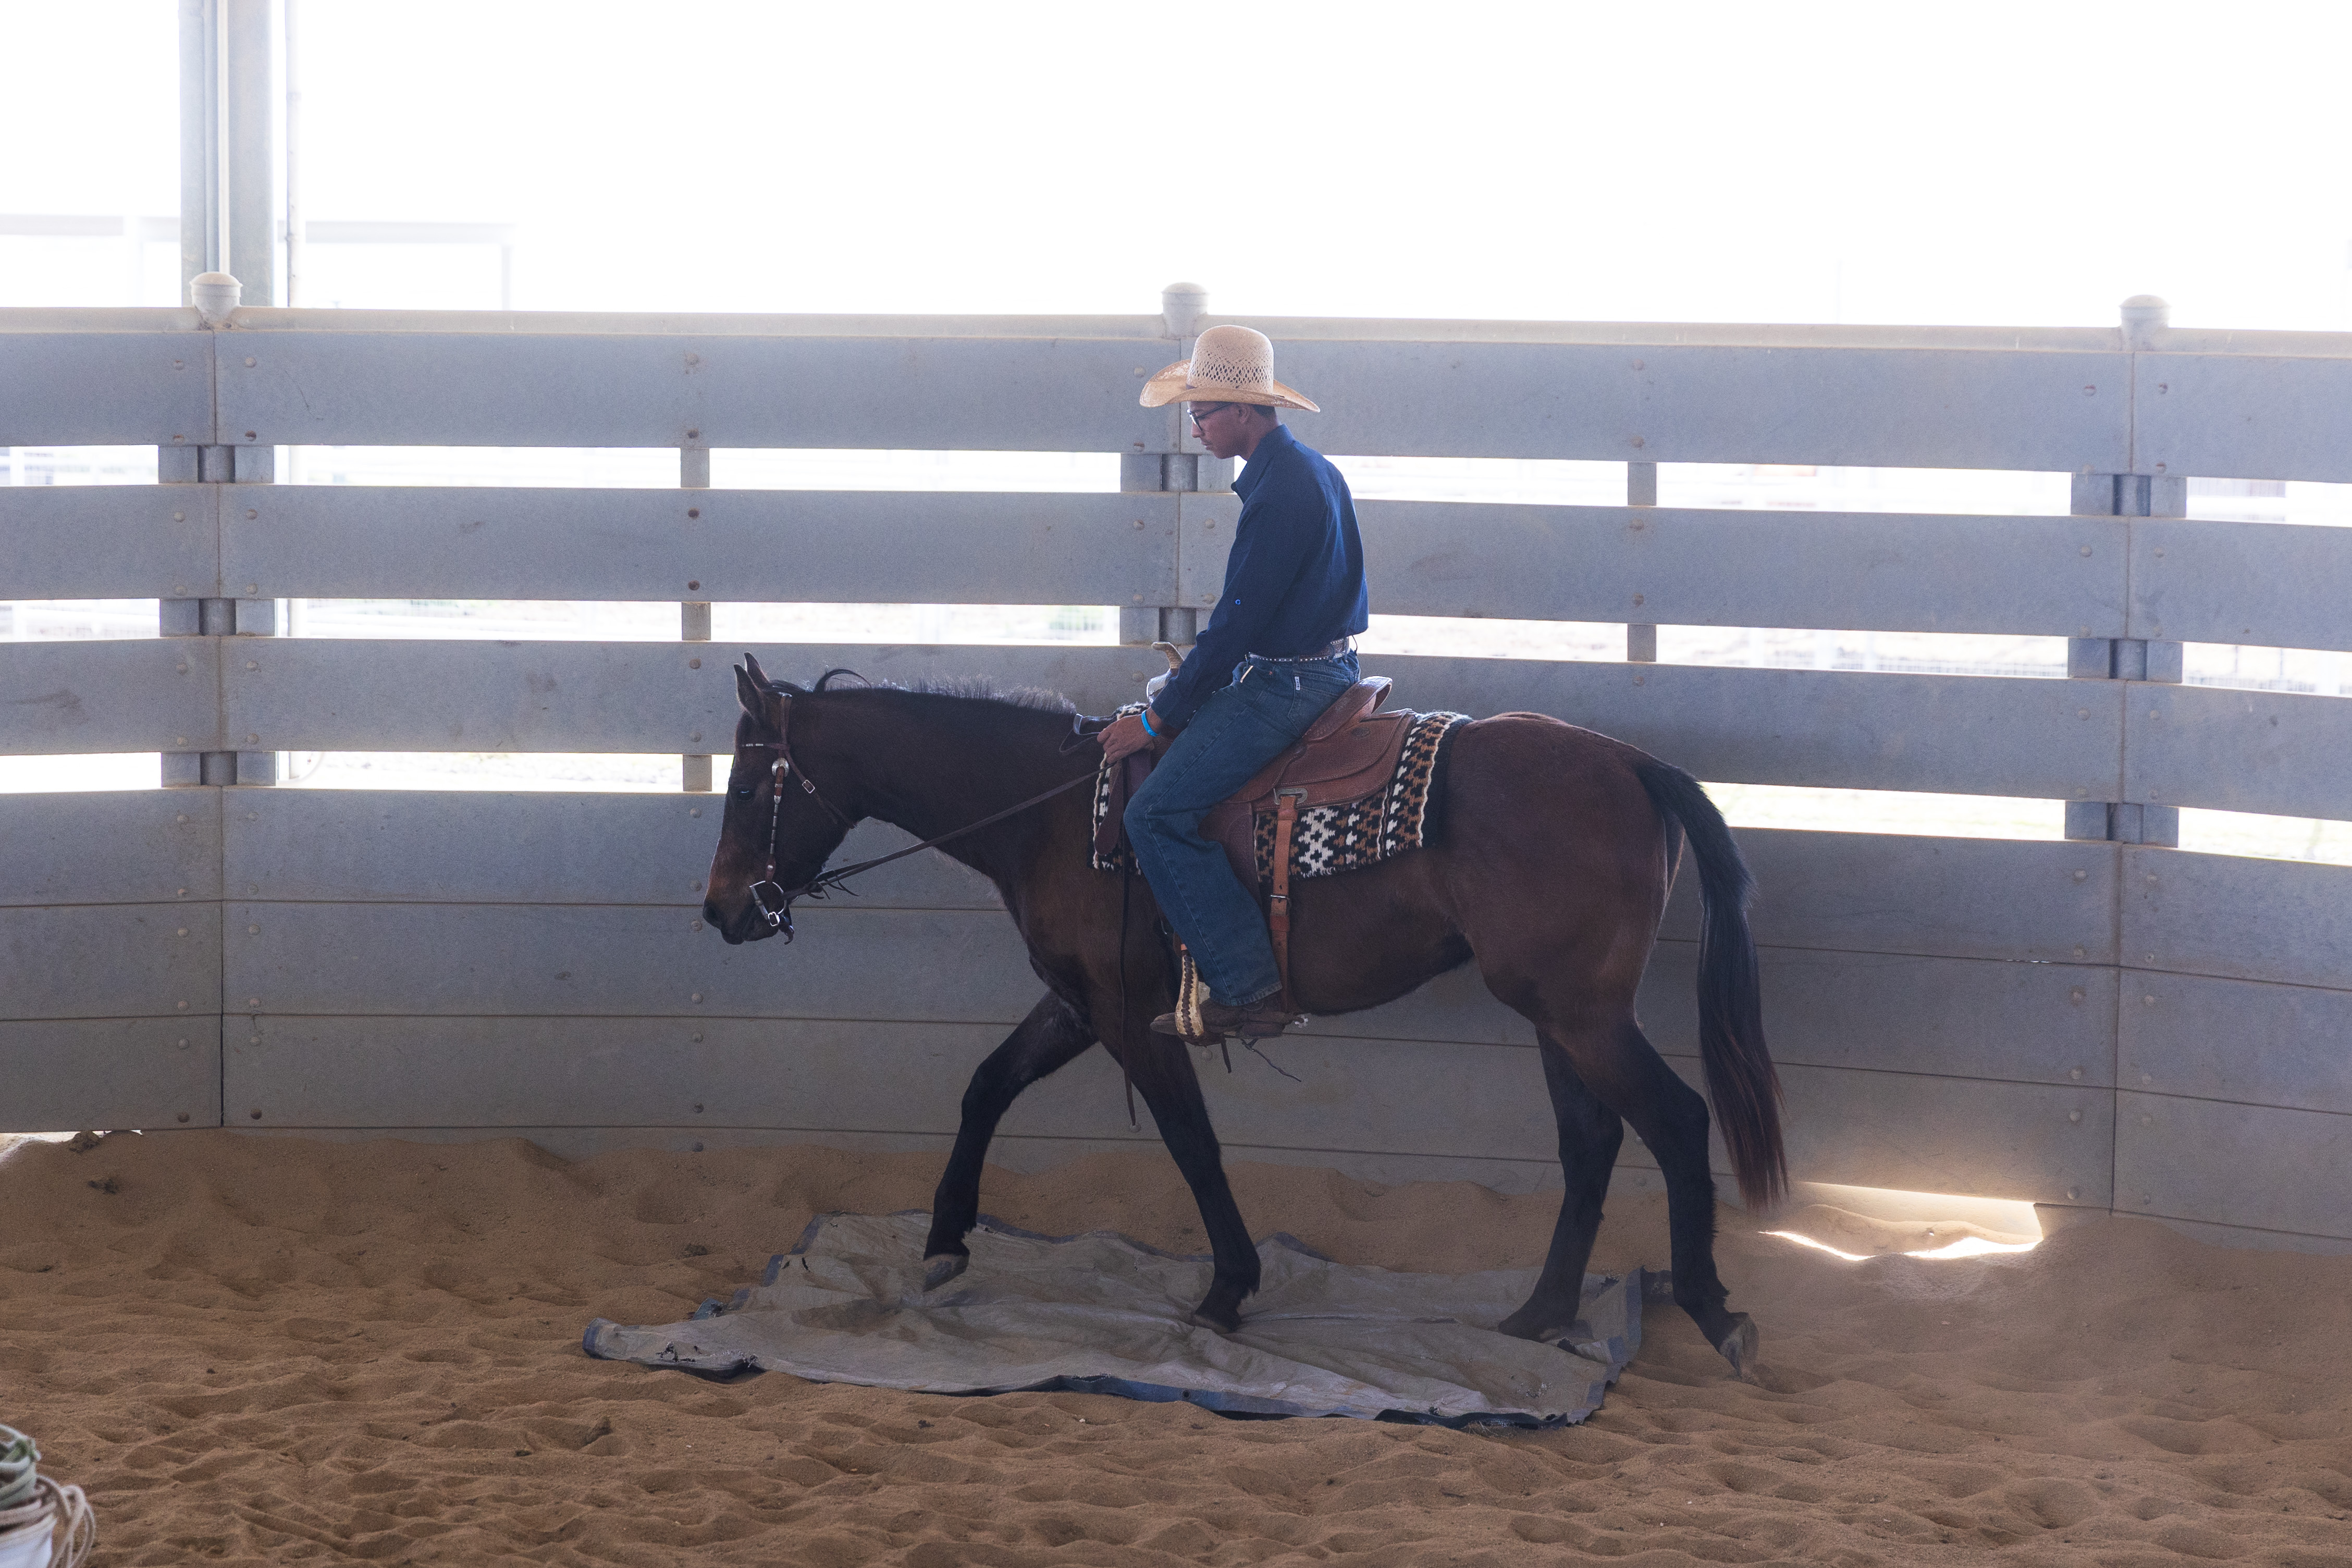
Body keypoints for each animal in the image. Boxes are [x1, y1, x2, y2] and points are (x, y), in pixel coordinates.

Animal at [702, 655, 1786, 1377]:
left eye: (747, 785)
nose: (720, 910)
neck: (1048, 811)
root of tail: (1631, 762)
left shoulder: (1127, 1014)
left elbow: (1191, 1141)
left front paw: (1225, 1287)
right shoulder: (1079, 1000)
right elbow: (987, 1085)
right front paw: (942, 1242)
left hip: (1580, 1013)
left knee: (1676, 1120)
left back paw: (1713, 1310)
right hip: (1557, 1013)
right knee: (1591, 1139)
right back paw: (1540, 1311)